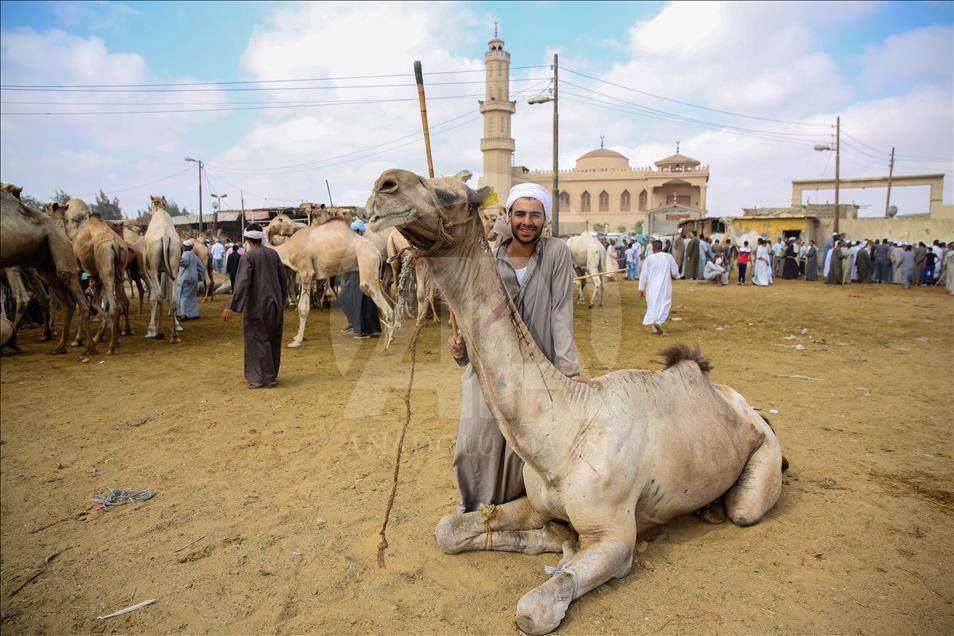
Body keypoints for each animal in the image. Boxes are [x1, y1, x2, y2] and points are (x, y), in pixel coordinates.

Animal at [141, 195, 182, 340]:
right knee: (174, 299)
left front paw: (150, 330)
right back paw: (174, 336)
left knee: (158, 296)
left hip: (152, 269)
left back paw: (159, 332)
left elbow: (153, 298)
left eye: (150, 205)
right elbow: (169, 297)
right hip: (175, 266)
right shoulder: (166, 270)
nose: (149, 213)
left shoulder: (150, 271)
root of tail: (164, 236)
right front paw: (177, 325)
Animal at [364, 169, 780, 636]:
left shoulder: (615, 535)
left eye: (448, 193)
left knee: (744, 509)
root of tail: (750, 410)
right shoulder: (535, 499)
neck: (565, 428)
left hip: (762, 458)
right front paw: (552, 539)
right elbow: (448, 528)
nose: (384, 184)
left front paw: (558, 553)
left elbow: (534, 609)